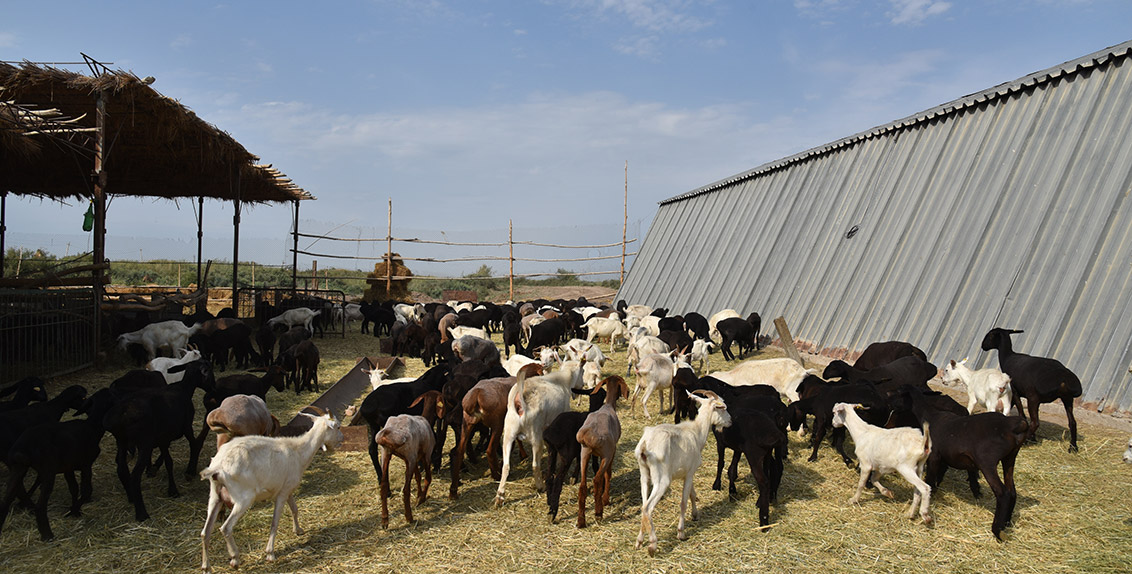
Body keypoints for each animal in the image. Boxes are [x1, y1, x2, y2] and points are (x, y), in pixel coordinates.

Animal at [199, 412, 341, 572]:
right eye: (338, 427)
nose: (341, 440)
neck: (298, 451)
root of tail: (218, 467)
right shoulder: (281, 494)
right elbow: (275, 522)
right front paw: (270, 553)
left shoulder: (287, 488)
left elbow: (295, 509)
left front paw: (298, 530)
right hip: (243, 498)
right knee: (226, 528)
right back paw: (235, 558)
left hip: (215, 497)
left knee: (205, 532)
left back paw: (206, 567)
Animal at [493, 360, 584, 507]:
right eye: (582, 371)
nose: (582, 386)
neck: (563, 381)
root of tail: (520, 400)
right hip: (535, 436)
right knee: (535, 464)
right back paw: (540, 486)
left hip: (508, 434)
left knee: (506, 466)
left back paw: (500, 496)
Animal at [575, 375, 629, 527]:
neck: (608, 405)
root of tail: (587, 435)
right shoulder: (612, 450)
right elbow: (608, 474)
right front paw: (606, 500)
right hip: (606, 454)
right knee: (598, 479)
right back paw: (599, 512)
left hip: (584, 453)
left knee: (582, 486)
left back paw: (581, 521)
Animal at [638, 389, 733, 554]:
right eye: (723, 408)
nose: (731, 421)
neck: (697, 432)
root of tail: (646, 444)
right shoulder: (689, 474)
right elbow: (683, 502)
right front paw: (681, 533)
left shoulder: (688, 472)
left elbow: (692, 494)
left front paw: (695, 515)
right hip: (662, 479)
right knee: (648, 508)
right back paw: (652, 544)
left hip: (644, 475)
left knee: (643, 505)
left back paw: (640, 540)